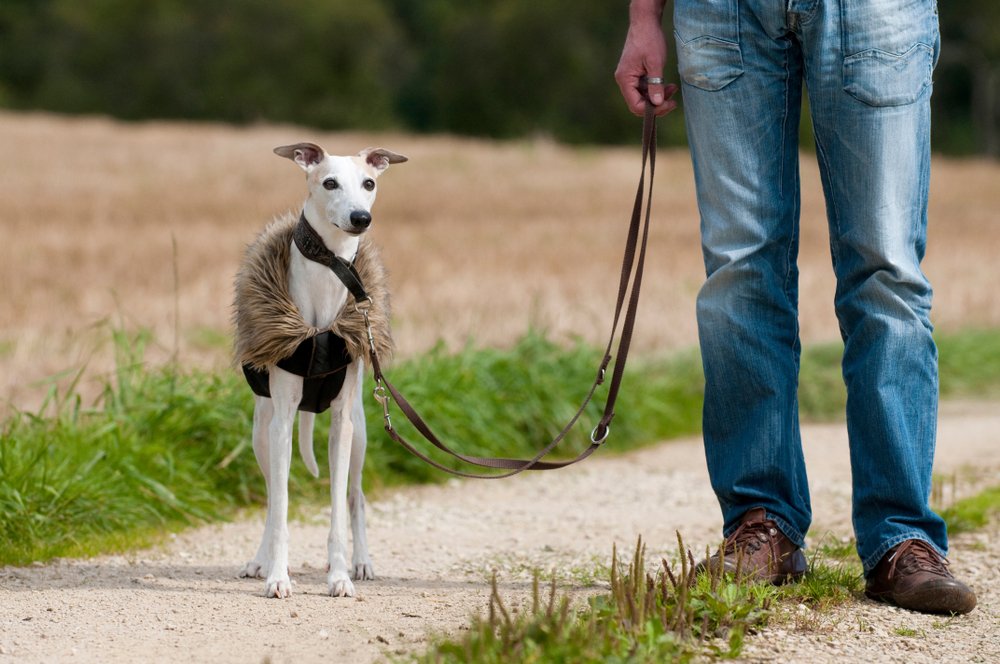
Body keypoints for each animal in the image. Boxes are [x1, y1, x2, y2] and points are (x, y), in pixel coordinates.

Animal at [232, 143, 404, 600]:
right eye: (329, 182)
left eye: (369, 183)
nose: (361, 218)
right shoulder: (281, 420)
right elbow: (280, 506)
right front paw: (277, 575)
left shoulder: (343, 422)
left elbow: (339, 507)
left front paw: (340, 575)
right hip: (261, 432)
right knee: (272, 497)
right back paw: (259, 560)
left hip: (360, 433)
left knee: (356, 496)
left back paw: (361, 562)